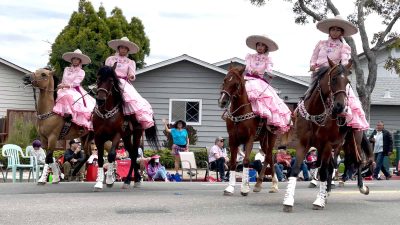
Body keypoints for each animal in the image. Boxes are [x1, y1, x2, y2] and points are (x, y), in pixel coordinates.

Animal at [217, 66, 282, 196]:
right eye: (224, 80)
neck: (239, 114)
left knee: (269, 156)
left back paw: (269, 184)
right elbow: (233, 163)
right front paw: (230, 187)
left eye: (236, 84)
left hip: (272, 137)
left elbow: (246, 161)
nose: (222, 101)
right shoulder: (232, 140)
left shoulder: (249, 139)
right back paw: (263, 184)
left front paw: (244, 188)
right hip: (263, 140)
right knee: (269, 157)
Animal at [282, 58, 372, 213]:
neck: (315, 114)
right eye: (334, 78)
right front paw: (288, 201)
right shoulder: (303, 143)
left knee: (357, 161)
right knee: (334, 165)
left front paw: (318, 201)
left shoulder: (327, 145)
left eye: (348, 81)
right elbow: (295, 170)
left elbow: (324, 171)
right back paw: (327, 191)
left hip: (353, 141)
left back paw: (361, 187)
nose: (340, 106)